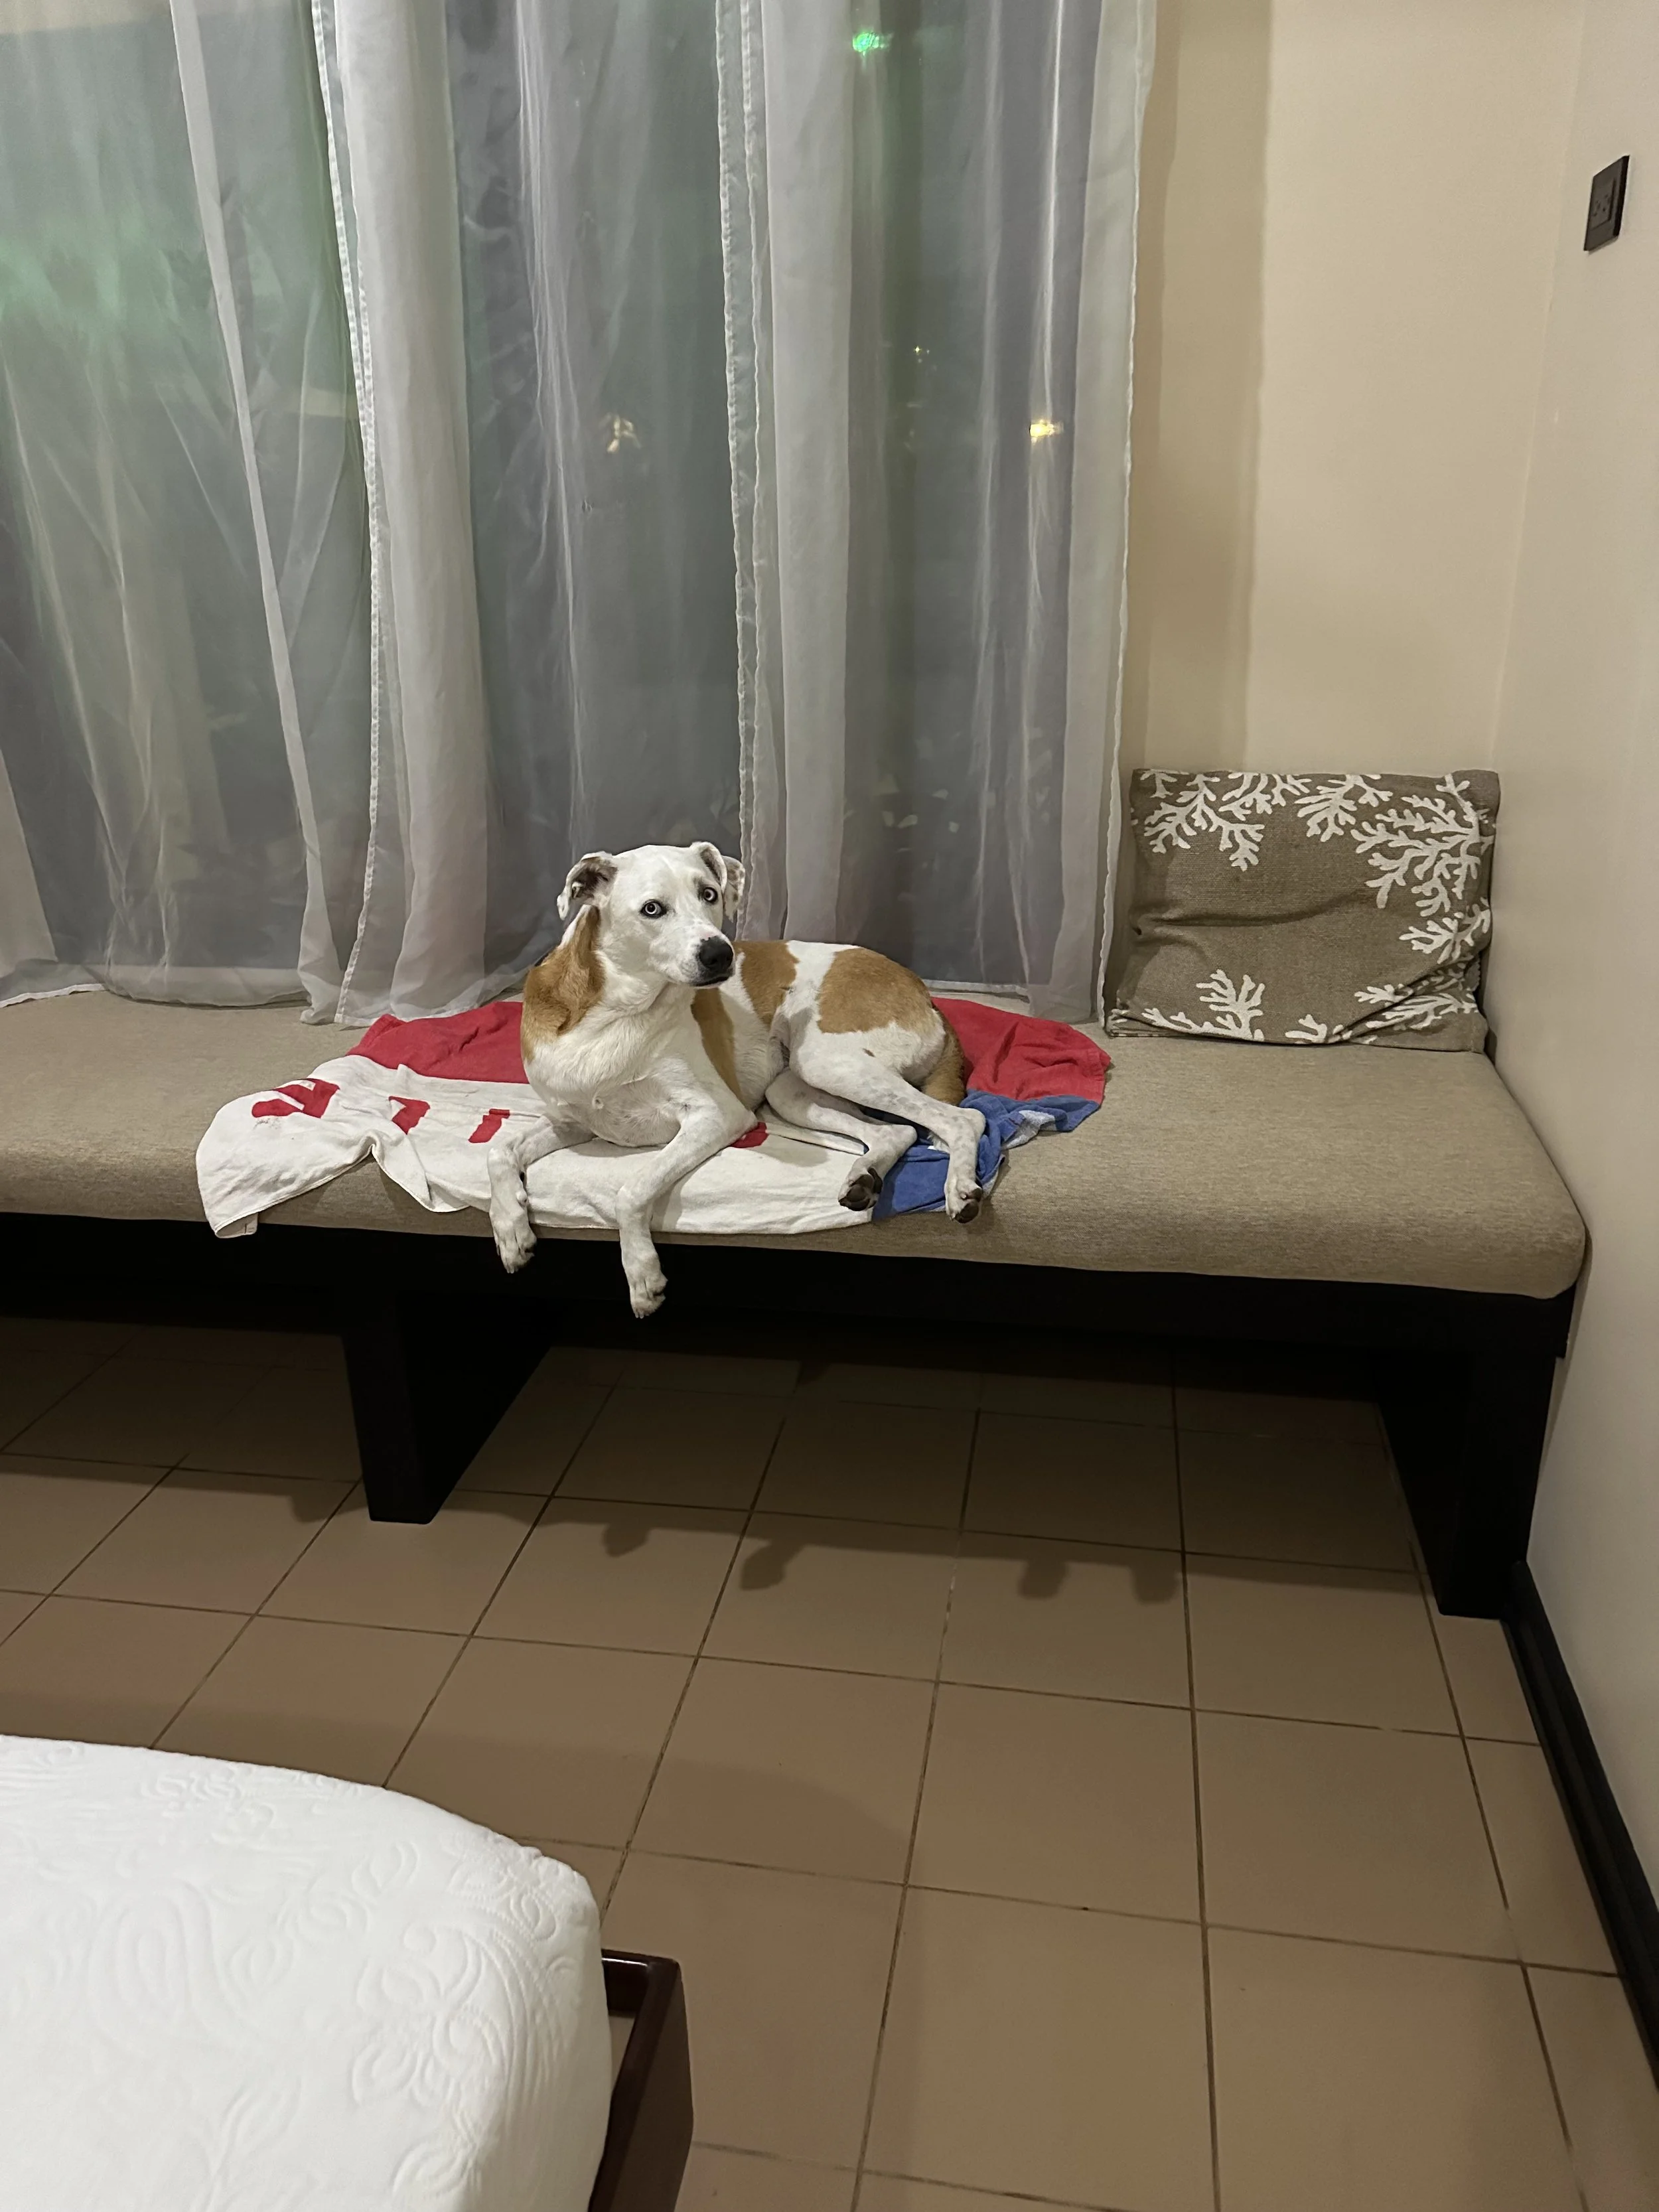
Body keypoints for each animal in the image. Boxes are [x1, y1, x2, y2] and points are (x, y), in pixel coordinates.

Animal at [488, 841, 986, 1315]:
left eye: (709, 894)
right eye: (652, 908)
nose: (720, 953)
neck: (613, 1013)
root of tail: (924, 992)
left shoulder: (719, 1116)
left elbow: (632, 1189)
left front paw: (643, 1276)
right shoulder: (571, 1120)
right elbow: (498, 1150)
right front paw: (510, 1231)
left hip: (826, 1059)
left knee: (963, 1119)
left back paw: (960, 1190)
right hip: (792, 1091)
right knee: (896, 1131)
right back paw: (863, 1179)